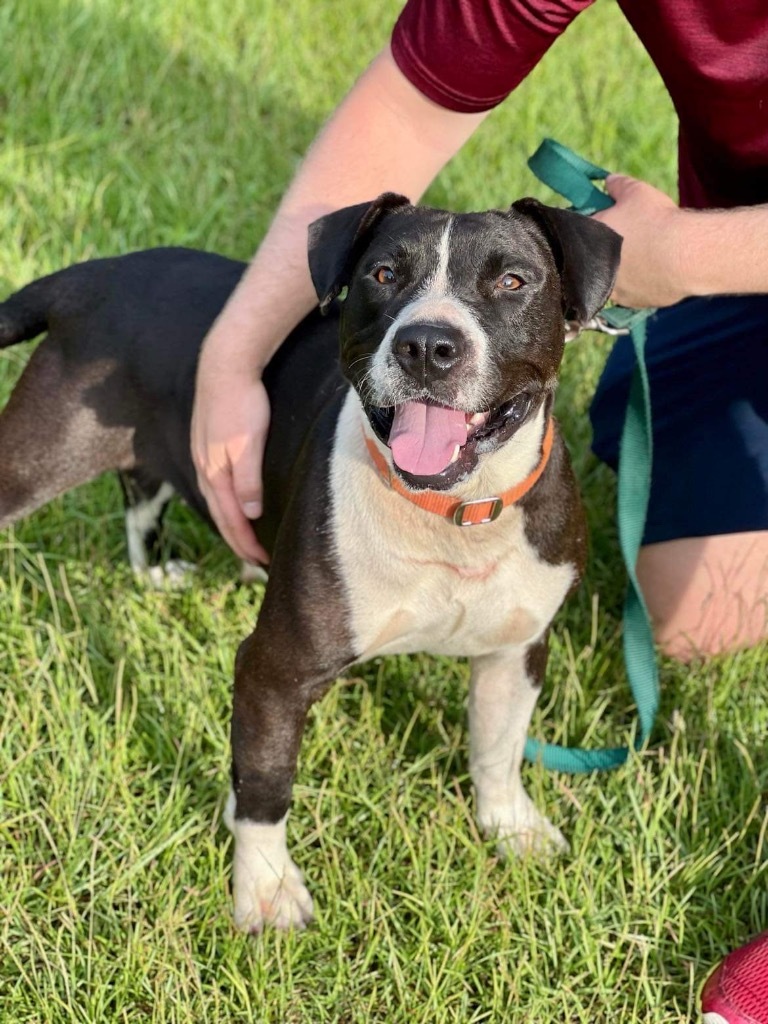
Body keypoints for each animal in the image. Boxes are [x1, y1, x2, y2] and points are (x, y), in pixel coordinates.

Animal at [0, 195, 622, 933]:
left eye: (513, 281)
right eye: (383, 274)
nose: (426, 345)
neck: (447, 513)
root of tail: (95, 274)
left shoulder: (517, 647)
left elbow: (498, 745)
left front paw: (511, 827)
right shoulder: (275, 672)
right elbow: (266, 784)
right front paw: (266, 890)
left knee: (141, 494)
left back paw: (156, 573)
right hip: (36, 459)